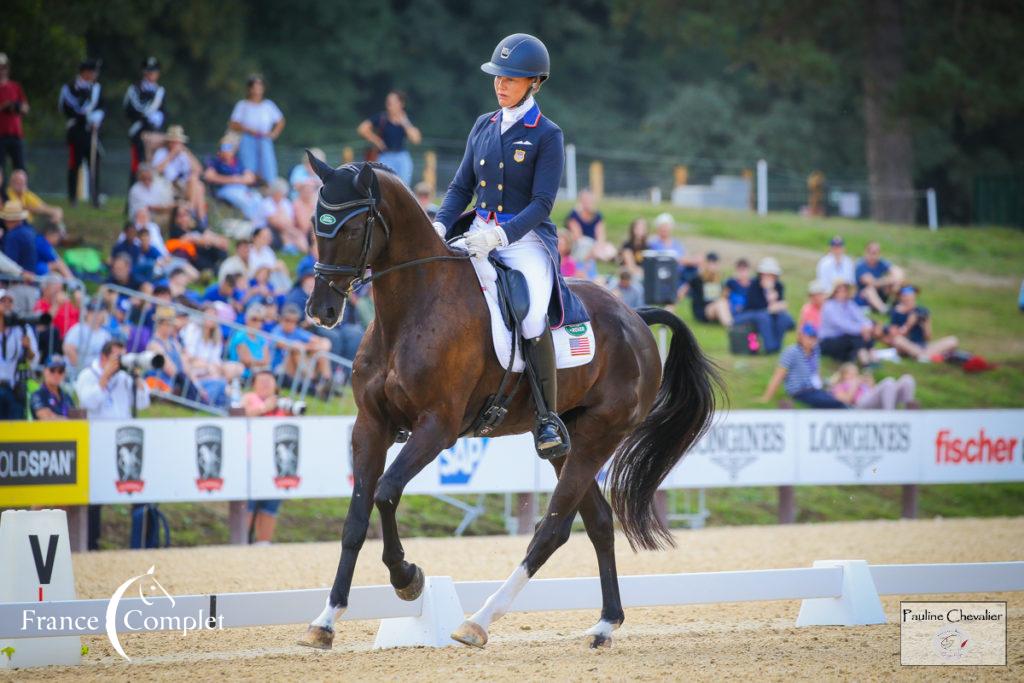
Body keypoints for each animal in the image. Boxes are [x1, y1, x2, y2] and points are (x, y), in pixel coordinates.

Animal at [294, 160, 712, 651]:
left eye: (354, 226)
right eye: (314, 223)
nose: (321, 310)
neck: (412, 309)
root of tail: (636, 319)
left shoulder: (437, 427)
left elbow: (386, 492)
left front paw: (408, 578)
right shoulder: (370, 425)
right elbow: (356, 518)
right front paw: (325, 621)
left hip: (599, 435)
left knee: (552, 529)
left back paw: (478, 622)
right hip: (570, 440)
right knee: (597, 521)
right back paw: (606, 623)